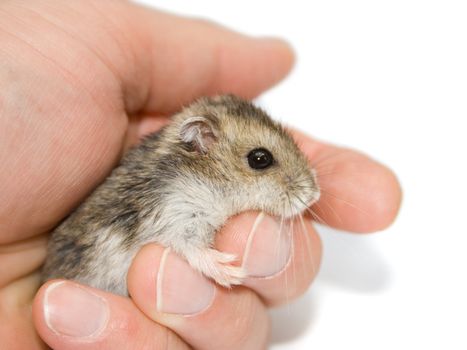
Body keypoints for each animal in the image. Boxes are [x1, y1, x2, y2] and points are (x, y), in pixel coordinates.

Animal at [42, 93, 322, 296]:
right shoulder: (176, 215)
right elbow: (189, 245)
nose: (314, 194)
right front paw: (230, 271)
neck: (207, 180)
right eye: (260, 158)